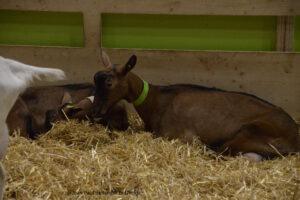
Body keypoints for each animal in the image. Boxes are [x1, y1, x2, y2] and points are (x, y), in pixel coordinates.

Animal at [94, 53, 300, 161]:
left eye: (109, 83)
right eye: (95, 79)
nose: (96, 111)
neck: (157, 101)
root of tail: (295, 137)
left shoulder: (181, 135)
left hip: (248, 133)